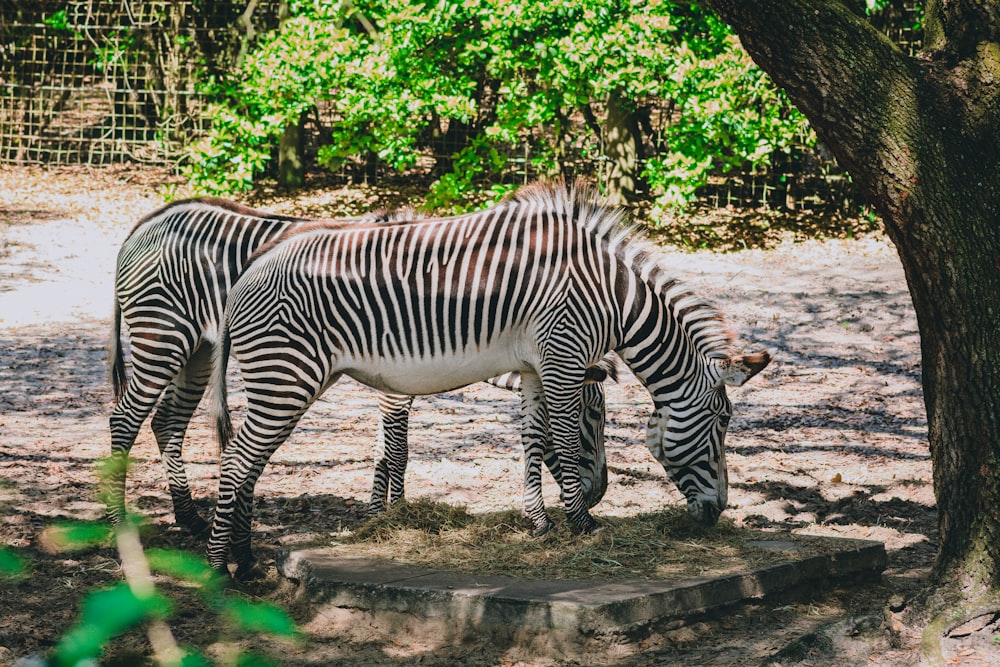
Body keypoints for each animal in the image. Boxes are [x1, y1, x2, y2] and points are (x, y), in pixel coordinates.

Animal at [109, 198, 608, 536]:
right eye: (595, 415)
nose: (600, 494)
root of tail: (144, 223)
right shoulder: (396, 384)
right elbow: (397, 450)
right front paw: (392, 514)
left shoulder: (395, 377)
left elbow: (383, 450)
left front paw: (380, 512)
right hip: (163, 340)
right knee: (126, 418)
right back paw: (122, 521)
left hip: (198, 352)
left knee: (166, 422)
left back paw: (190, 518)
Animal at [201, 180, 764, 576]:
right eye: (722, 422)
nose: (718, 512)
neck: (615, 299)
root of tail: (246, 274)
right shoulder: (564, 354)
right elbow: (561, 439)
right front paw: (581, 524)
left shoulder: (537, 366)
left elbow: (534, 439)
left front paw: (539, 525)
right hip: (286, 376)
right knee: (236, 462)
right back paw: (217, 569)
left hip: (282, 381)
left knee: (248, 463)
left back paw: (244, 561)